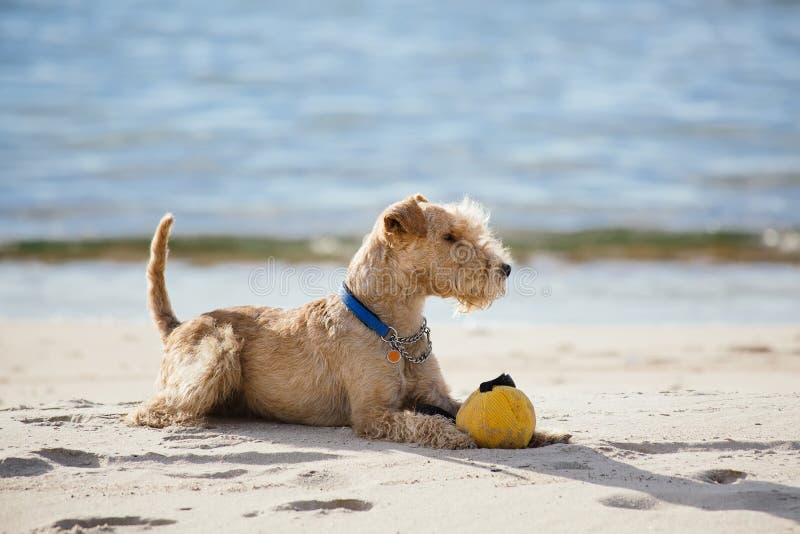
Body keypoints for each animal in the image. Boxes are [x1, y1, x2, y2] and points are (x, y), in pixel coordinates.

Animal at [126, 195, 568, 450]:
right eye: (449, 236)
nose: (505, 269)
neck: (393, 329)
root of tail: (177, 326)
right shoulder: (372, 414)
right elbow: (425, 425)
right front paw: (458, 436)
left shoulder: (437, 396)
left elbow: (457, 408)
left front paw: (543, 433)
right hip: (218, 350)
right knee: (151, 408)